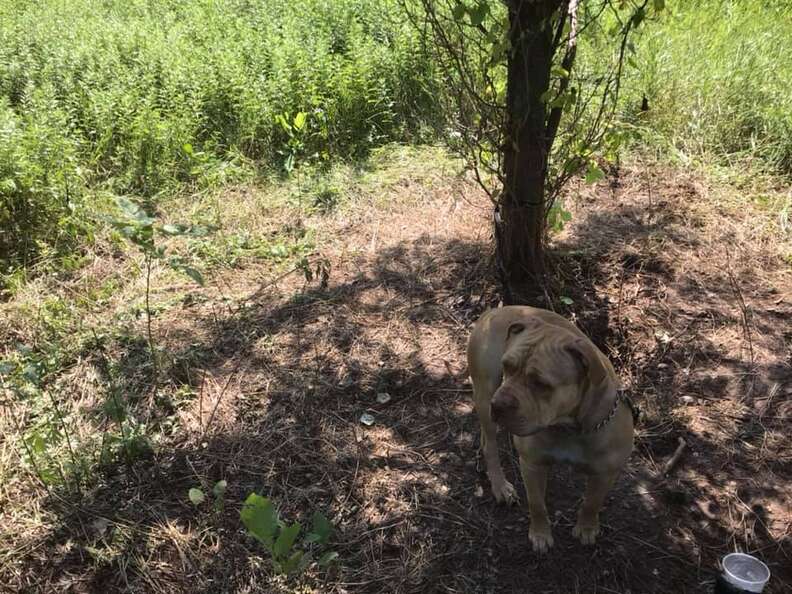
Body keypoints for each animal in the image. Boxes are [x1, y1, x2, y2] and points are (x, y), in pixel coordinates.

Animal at [468, 306, 636, 552]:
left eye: (540, 383)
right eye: (507, 365)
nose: (498, 405)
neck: (568, 428)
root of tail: (495, 311)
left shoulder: (606, 473)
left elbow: (592, 503)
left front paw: (587, 528)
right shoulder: (532, 465)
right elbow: (537, 504)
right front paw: (540, 535)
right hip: (485, 391)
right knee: (490, 444)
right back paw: (500, 485)